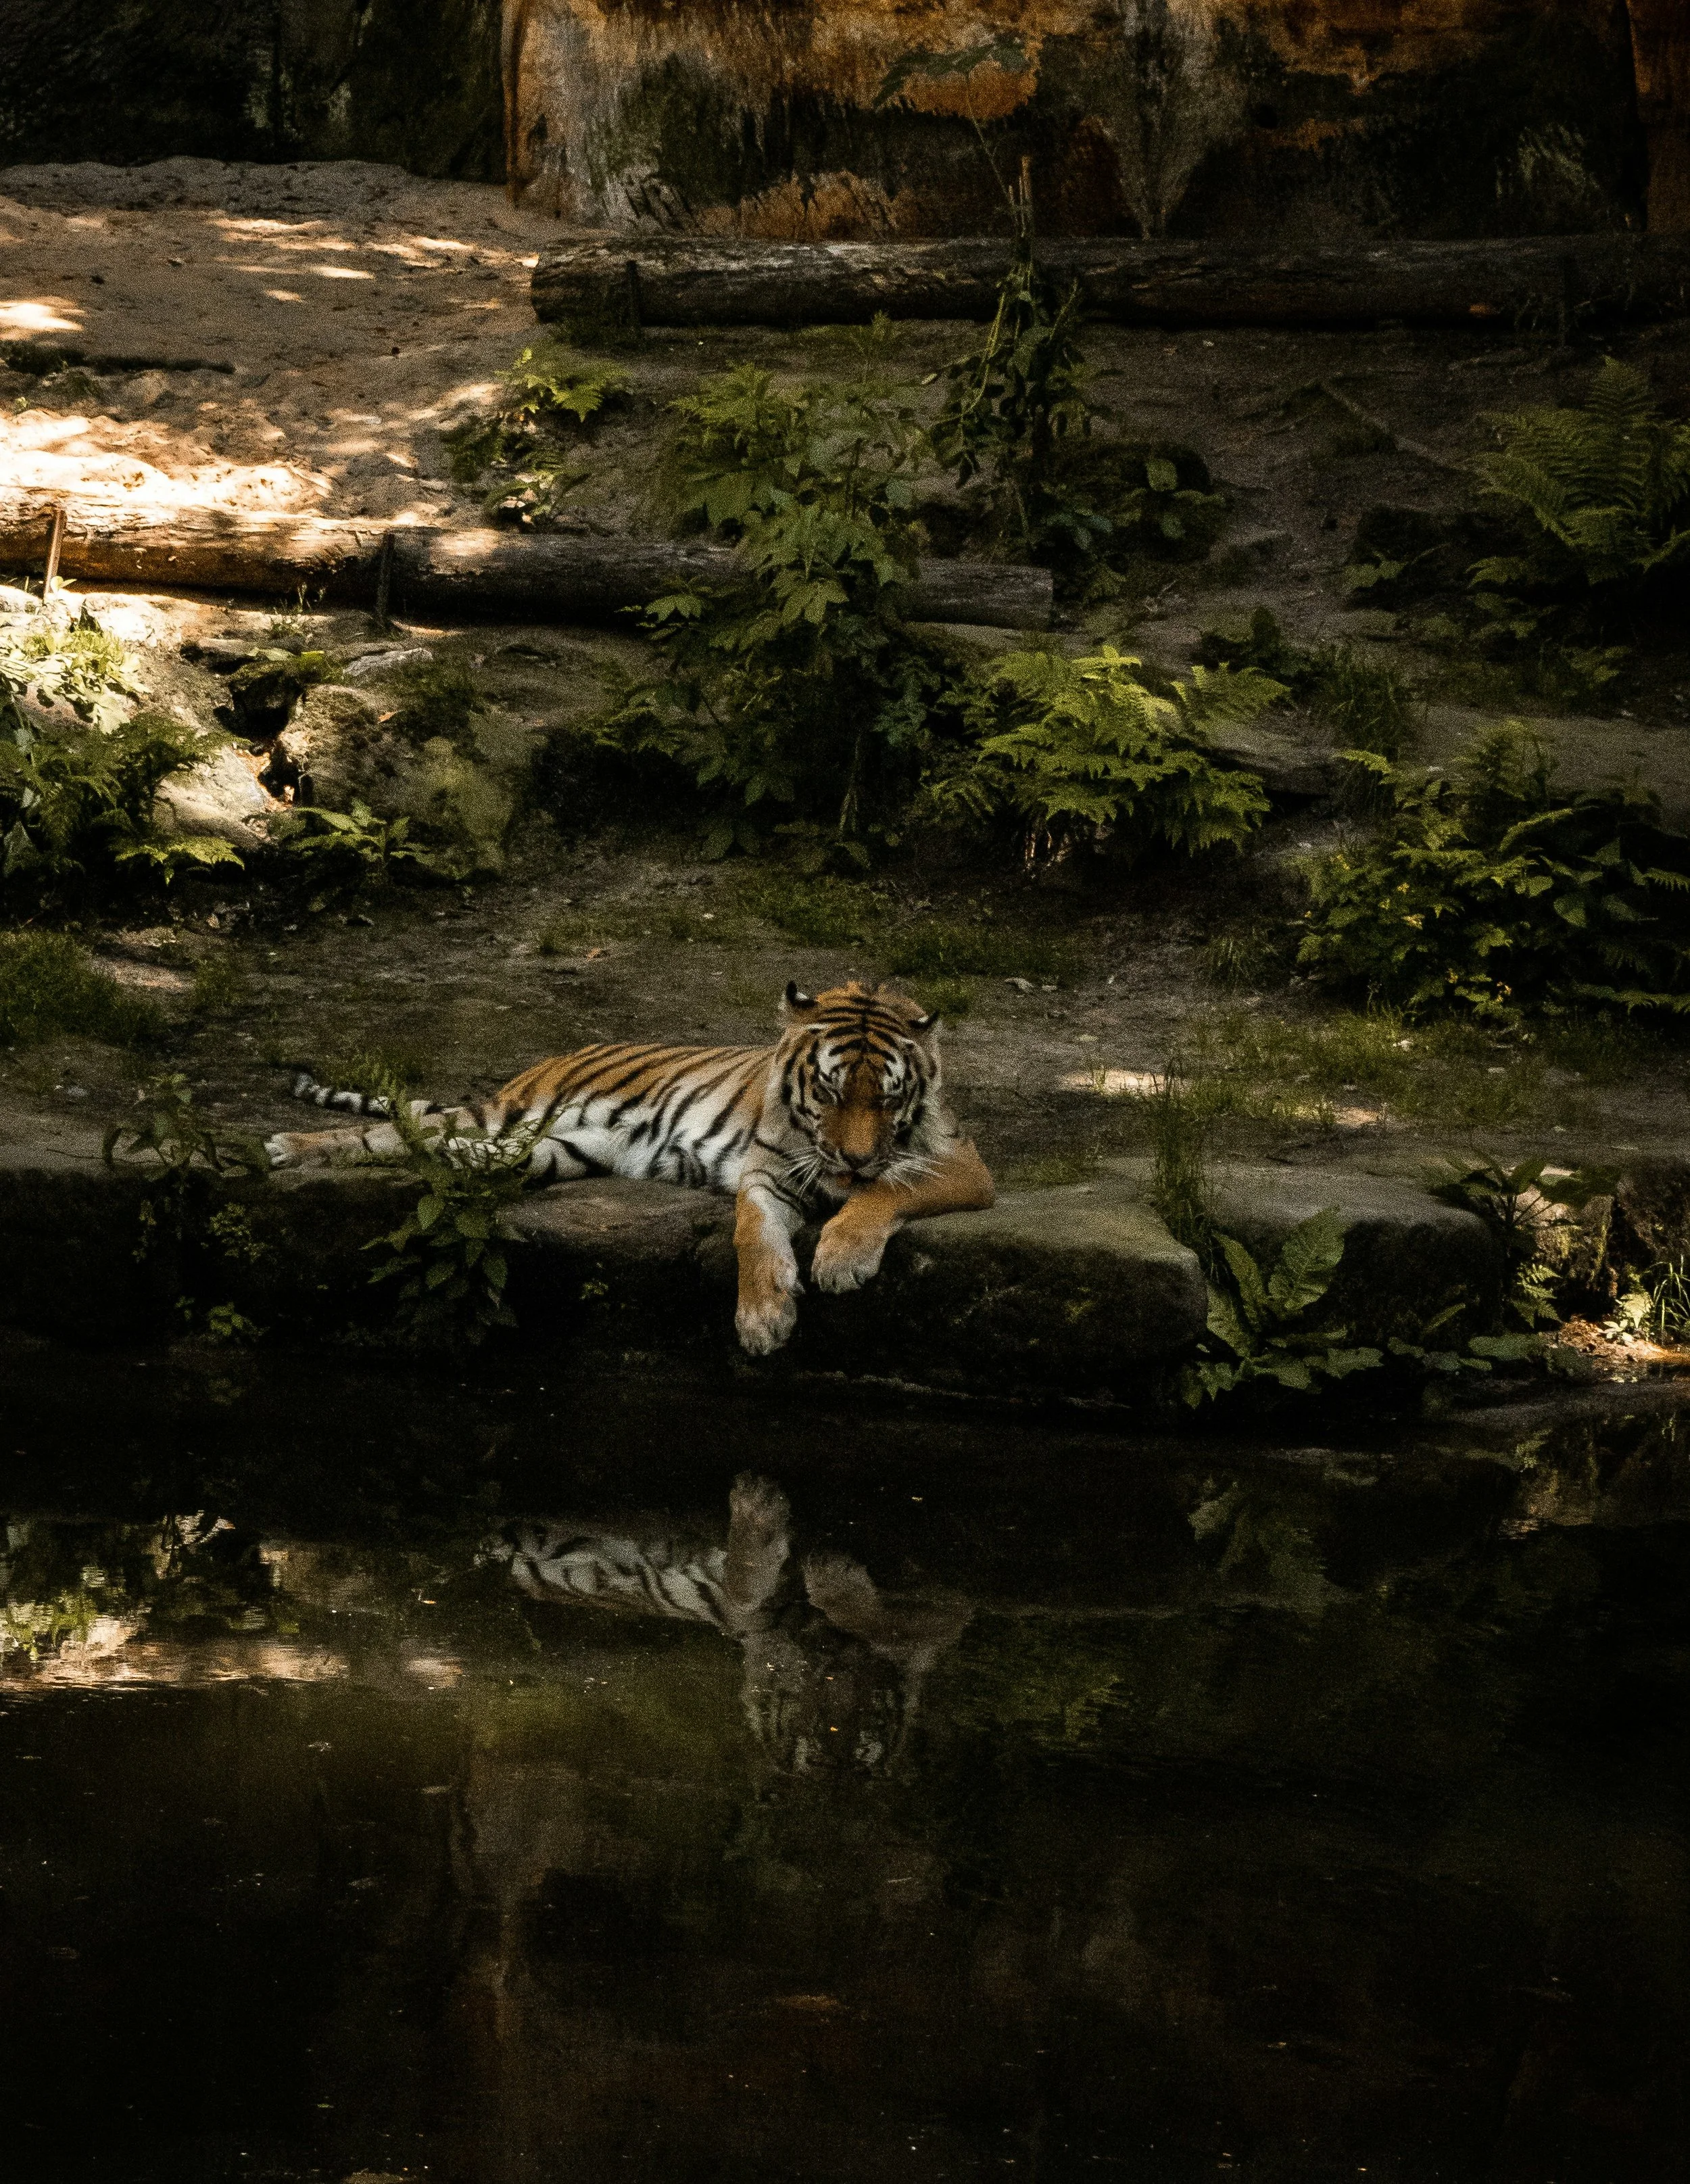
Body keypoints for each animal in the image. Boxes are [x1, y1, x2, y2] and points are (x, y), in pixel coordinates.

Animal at [263, 979, 995, 1355]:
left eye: (888, 1098)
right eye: (831, 1091)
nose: (853, 1157)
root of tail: (556, 1056)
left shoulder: (961, 1163)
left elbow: (885, 1192)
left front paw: (839, 1258)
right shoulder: (766, 1175)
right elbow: (753, 1236)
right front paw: (763, 1317)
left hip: (545, 1148)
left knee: (437, 1146)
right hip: (508, 1118)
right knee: (389, 1131)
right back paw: (289, 1149)